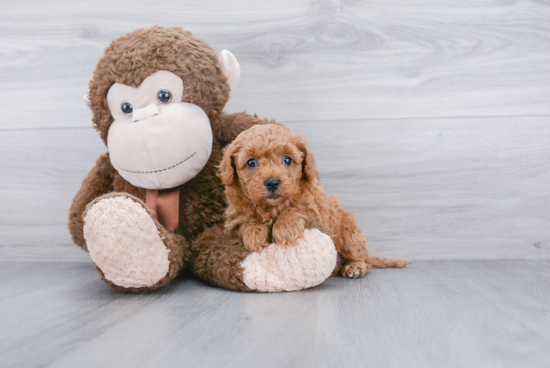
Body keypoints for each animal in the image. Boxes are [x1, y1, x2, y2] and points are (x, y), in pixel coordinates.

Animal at [219, 124, 410, 278]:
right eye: (251, 162)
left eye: (287, 160)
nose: (272, 182)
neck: (272, 208)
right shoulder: (233, 218)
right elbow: (245, 220)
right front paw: (255, 233)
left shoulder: (316, 209)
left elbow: (298, 208)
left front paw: (285, 227)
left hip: (348, 235)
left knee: (364, 260)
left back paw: (355, 267)